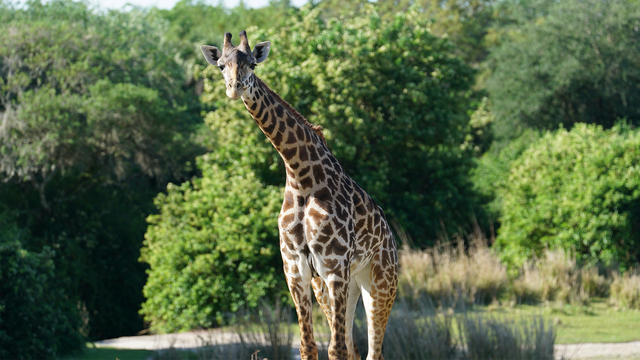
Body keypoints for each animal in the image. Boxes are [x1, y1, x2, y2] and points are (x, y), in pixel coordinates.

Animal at [202, 30, 398, 360]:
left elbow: (335, 348)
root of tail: (391, 237)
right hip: (346, 285)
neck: (301, 178)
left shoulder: (334, 267)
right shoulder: (296, 271)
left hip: (380, 282)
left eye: (252, 63)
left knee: (374, 351)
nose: (235, 88)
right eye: (221, 65)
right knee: (356, 348)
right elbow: (309, 346)